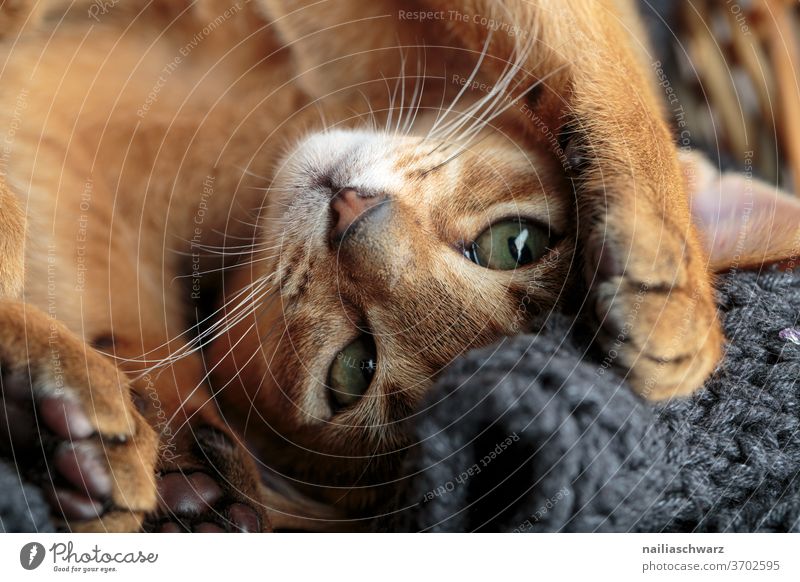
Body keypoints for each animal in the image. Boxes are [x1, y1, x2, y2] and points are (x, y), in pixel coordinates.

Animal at [0, 0, 796, 532]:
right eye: (516, 242)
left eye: (354, 368)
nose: (351, 215)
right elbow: (602, 53)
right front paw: (675, 289)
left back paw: (75, 437)